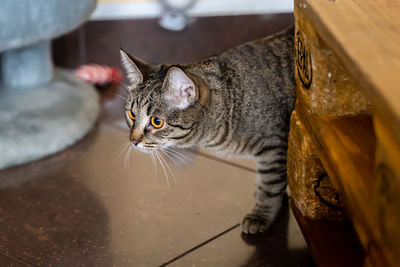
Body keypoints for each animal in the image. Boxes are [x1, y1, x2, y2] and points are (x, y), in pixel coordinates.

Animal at [120, 26, 296, 234]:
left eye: (156, 122)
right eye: (132, 114)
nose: (133, 140)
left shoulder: (274, 147)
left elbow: (269, 185)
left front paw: (260, 215)